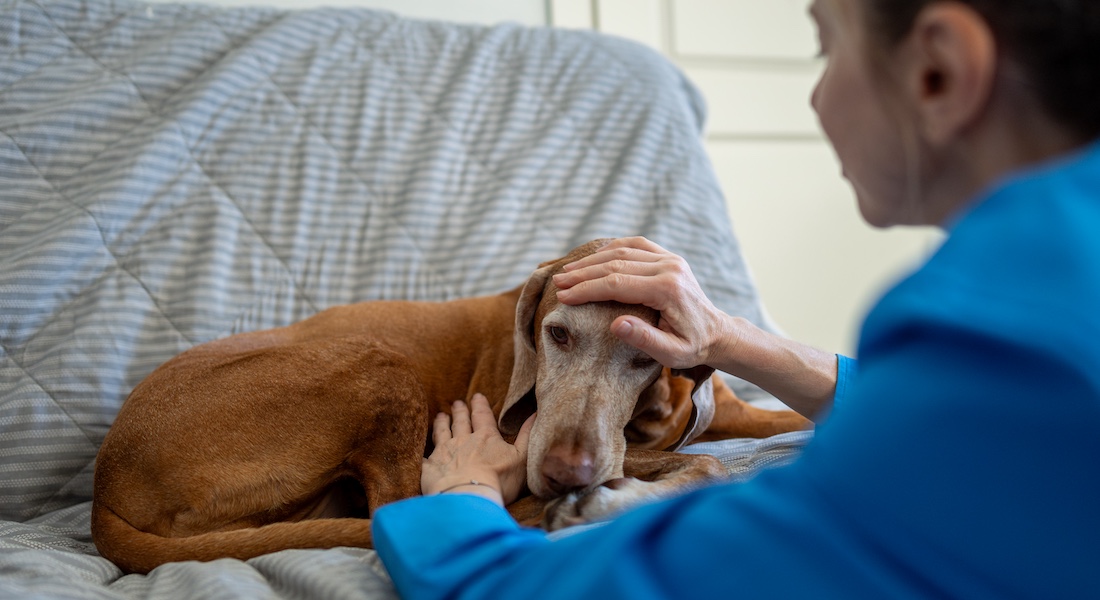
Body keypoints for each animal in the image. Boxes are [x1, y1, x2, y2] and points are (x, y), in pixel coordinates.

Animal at [90, 237, 809, 572]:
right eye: (557, 334)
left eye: (644, 355)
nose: (566, 475)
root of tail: (104, 485)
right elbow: (705, 465)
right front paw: (600, 501)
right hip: (377, 364)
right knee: (407, 506)